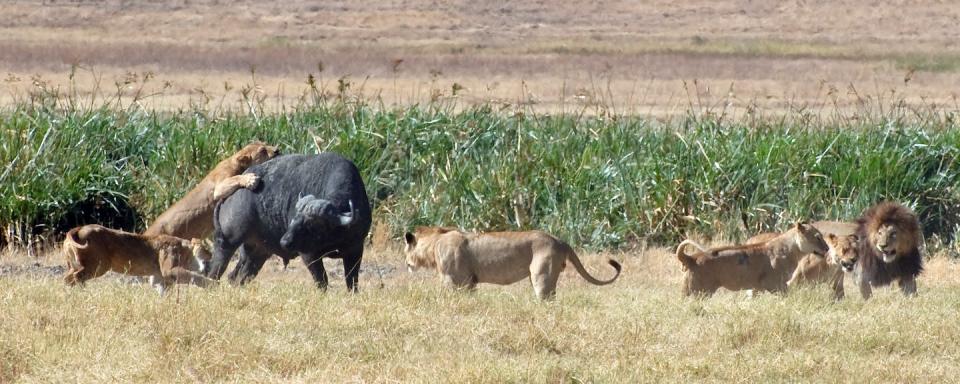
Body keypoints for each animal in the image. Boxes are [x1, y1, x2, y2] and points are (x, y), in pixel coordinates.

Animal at [62, 224, 216, 292]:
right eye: (206, 248)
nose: (211, 255)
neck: (185, 250)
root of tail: (79, 228)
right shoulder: (169, 269)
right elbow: (194, 276)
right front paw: (212, 284)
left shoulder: (158, 278)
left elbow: (162, 290)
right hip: (98, 266)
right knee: (77, 277)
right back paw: (82, 292)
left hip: (74, 265)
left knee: (67, 278)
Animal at [142, 142, 280, 240]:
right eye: (262, 151)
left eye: (266, 143)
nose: (277, 150)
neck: (235, 162)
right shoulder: (218, 188)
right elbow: (235, 178)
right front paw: (250, 179)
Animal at [208, 153, 374, 292]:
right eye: (294, 218)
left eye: (312, 224)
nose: (285, 242)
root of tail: (229, 195)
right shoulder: (308, 255)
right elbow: (322, 281)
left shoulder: (355, 250)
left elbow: (352, 281)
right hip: (227, 242)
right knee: (214, 271)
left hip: (257, 252)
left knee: (237, 277)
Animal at [404, 228, 624, 300]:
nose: (406, 264)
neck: (435, 242)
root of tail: (560, 241)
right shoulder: (471, 283)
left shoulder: (457, 281)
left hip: (541, 276)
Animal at [680, 222, 828, 296]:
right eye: (818, 237)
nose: (827, 249)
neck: (793, 249)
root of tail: (692, 258)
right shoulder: (775, 284)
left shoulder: (757, 286)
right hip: (698, 292)